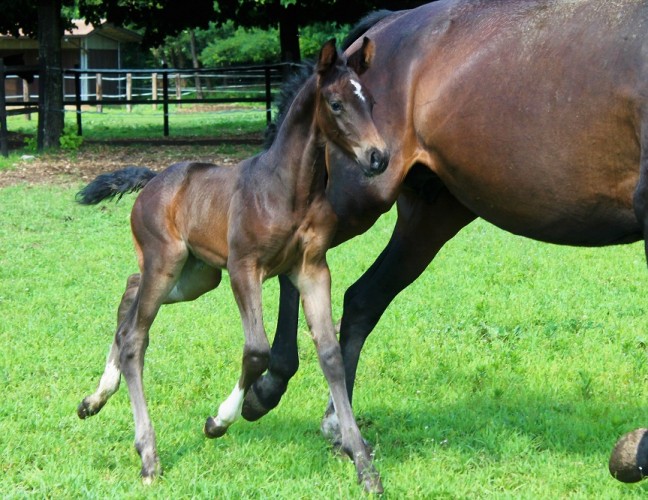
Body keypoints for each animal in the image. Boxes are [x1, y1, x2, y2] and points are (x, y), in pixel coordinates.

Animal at [76, 39, 390, 492]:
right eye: (336, 104)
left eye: (371, 102)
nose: (378, 157)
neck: (287, 188)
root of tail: (153, 180)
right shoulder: (245, 268)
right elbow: (257, 351)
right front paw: (218, 421)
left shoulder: (312, 269)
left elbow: (330, 355)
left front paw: (364, 466)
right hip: (167, 263)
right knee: (136, 335)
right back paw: (148, 456)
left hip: (196, 276)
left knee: (129, 294)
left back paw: (94, 399)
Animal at [240, 0, 648, 484]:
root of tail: (378, 30)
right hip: (356, 199)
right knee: (301, 271)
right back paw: (269, 388)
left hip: (430, 218)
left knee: (362, 300)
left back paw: (340, 430)